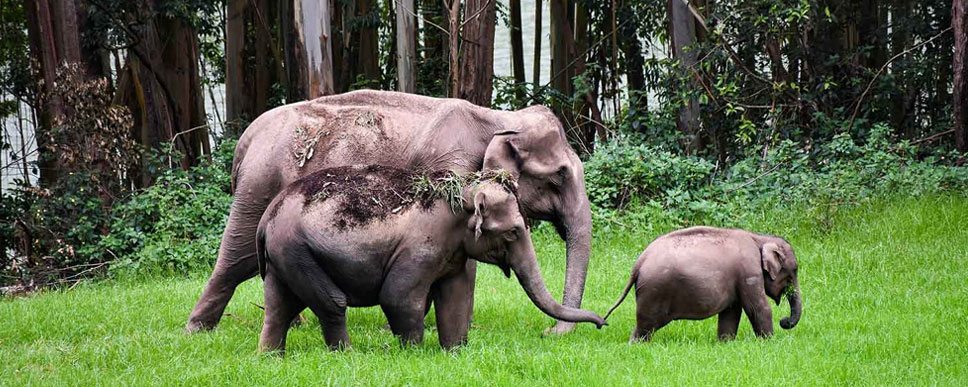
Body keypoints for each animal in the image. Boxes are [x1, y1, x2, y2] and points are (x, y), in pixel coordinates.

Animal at [182, 91, 588, 336]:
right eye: (559, 176)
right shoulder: (449, 168)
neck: (496, 119)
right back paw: (196, 331)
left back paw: (294, 324)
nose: (548, 333)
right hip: (260, 185)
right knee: (237, 259)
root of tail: (246, 139)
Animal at [258, 165, 604, 354]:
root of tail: (267, 217)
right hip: (296, 250)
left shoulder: (454, 253)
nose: (603, 322)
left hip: (284, 258)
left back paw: (271, 358)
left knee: (279, 306)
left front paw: (455, 351)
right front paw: (412, 353)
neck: (462, 193)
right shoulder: (420, 247)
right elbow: (398, 297)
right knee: (331, 303)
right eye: (513, 233)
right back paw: (347, 355)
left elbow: (456, 298)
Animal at [604, 227, 800, 342]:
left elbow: (731, 312)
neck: (759, 238)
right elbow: (758, 307)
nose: (784, 321)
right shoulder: (749, 270)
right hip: (654, 291)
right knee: (646, 324)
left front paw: (725, 343)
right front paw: (769, 342)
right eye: (794, 271)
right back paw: (636, 345)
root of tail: (639, 261)